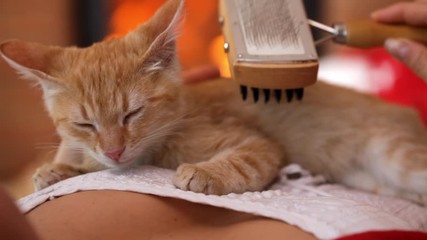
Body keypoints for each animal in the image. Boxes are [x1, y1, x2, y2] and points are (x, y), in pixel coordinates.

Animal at [0, 0, 427, 204]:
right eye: (85, 124)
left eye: (133, 113)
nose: (115, 151)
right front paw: (56, 171)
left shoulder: (258, 144)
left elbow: (247, 159)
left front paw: (204, 174)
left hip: (399, 157)